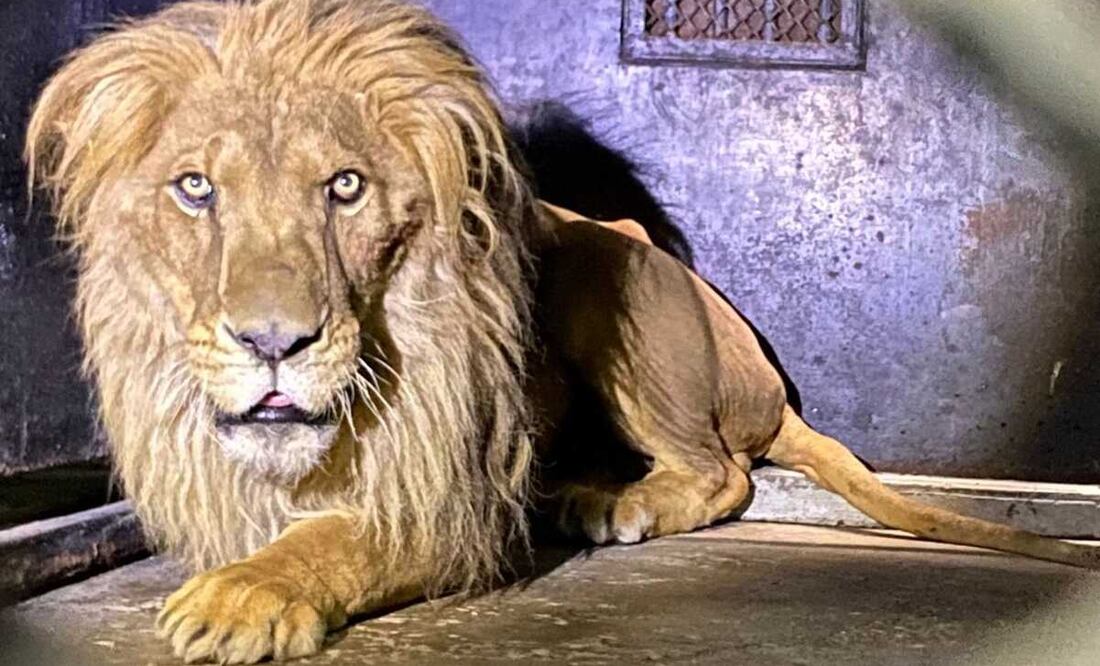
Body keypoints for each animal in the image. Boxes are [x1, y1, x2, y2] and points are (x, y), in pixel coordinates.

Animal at [24, 0, 1099, 663]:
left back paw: (609, 504)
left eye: (346, 187)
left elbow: (335, 538)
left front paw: (244, 595)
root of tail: (767, 384)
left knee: (724, 472)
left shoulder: (455, 497)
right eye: (195, 189)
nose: (274, 344)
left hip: (607, 259)